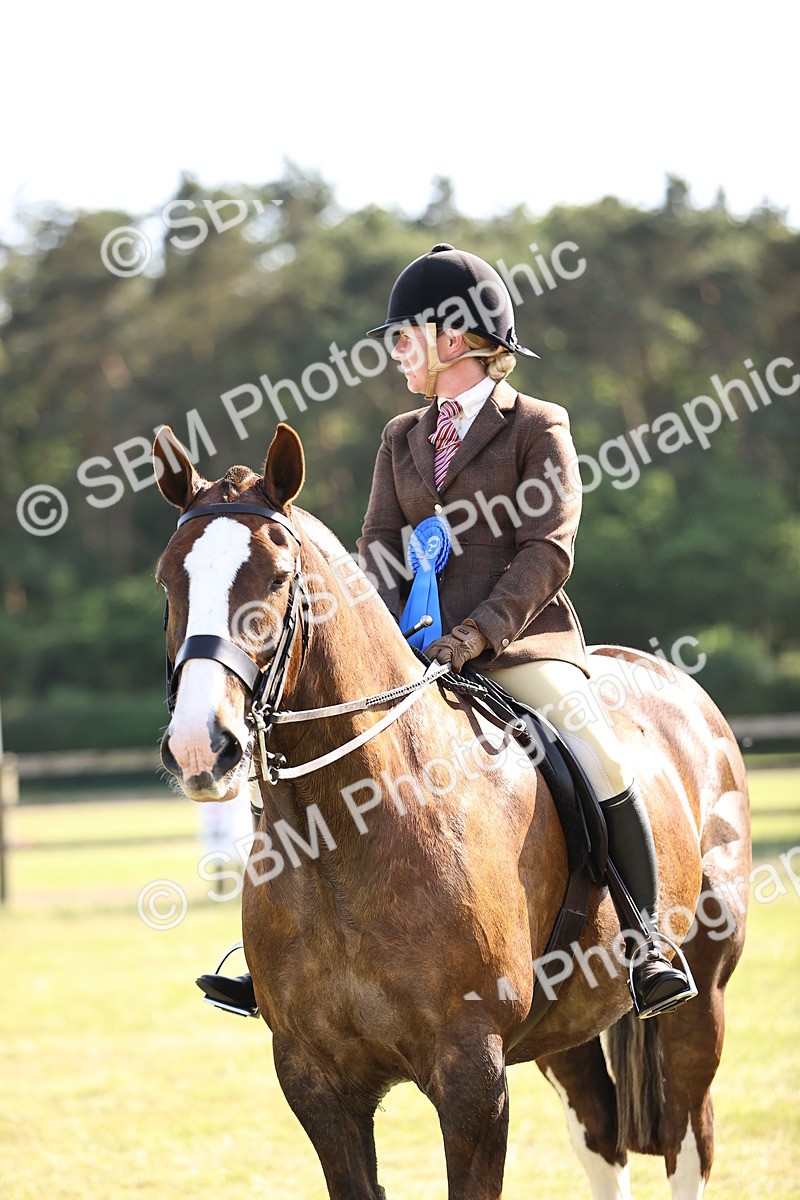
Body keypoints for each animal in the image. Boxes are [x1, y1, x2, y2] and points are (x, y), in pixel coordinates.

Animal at [153, 421, 751, 1200]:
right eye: (169, 580)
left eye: (278, 580)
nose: (201, 746)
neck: (344, 832)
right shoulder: (315, 1081)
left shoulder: (472, 1074)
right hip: (567, 1031)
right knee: (602, 1138)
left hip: (698, 1002)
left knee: (685, 1137)